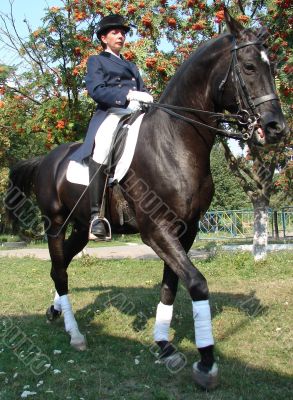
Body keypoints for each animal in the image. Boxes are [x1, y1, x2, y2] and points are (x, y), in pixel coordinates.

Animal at [5, 10, 286, 390]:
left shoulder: (186, 230)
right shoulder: (157, 231)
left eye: (272, 66)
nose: (276, 128)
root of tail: (47, 159)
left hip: (80, 227)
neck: (175, 140)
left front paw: (164, 344)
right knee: (60, 271)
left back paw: (55, 311)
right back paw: (75, 333)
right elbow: (197, 283)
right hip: (55, 225)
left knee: (61, 265)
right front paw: (206, 362)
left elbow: (171, 284)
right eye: (249, 66)